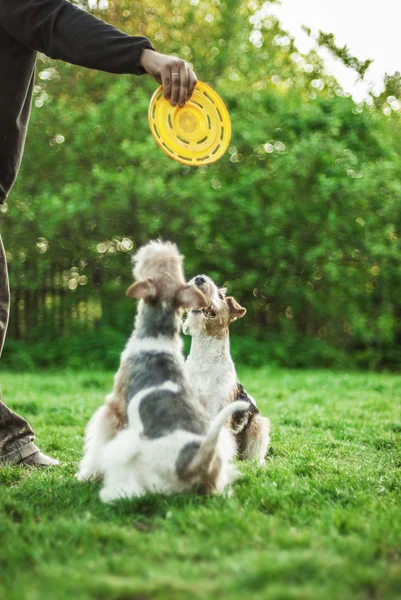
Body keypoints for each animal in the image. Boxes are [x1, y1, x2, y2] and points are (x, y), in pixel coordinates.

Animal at [76, 241, 248, 500]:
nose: (155, 246)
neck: (158, 336)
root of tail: (197, 463)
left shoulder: (114, 410)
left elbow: (97, 446)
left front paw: (87, 474)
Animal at [183, 274, 270, 466]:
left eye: (221, 296)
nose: (199, 278)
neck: (204, 358)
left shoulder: (219, 409)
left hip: (258, 423)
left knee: (255, 451)